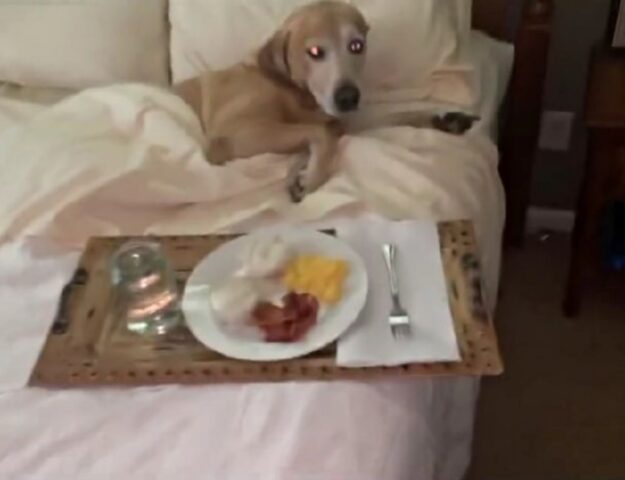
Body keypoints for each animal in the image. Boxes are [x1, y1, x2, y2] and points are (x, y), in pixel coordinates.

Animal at [173, 0, 476, 202]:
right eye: (315, 52)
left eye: (356, 45)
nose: (348, 98)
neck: (293, 91)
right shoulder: (234, 133)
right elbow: (323, 132)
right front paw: (312, 176)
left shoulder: (338, 118)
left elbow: (393, 114)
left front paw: (441, 119)